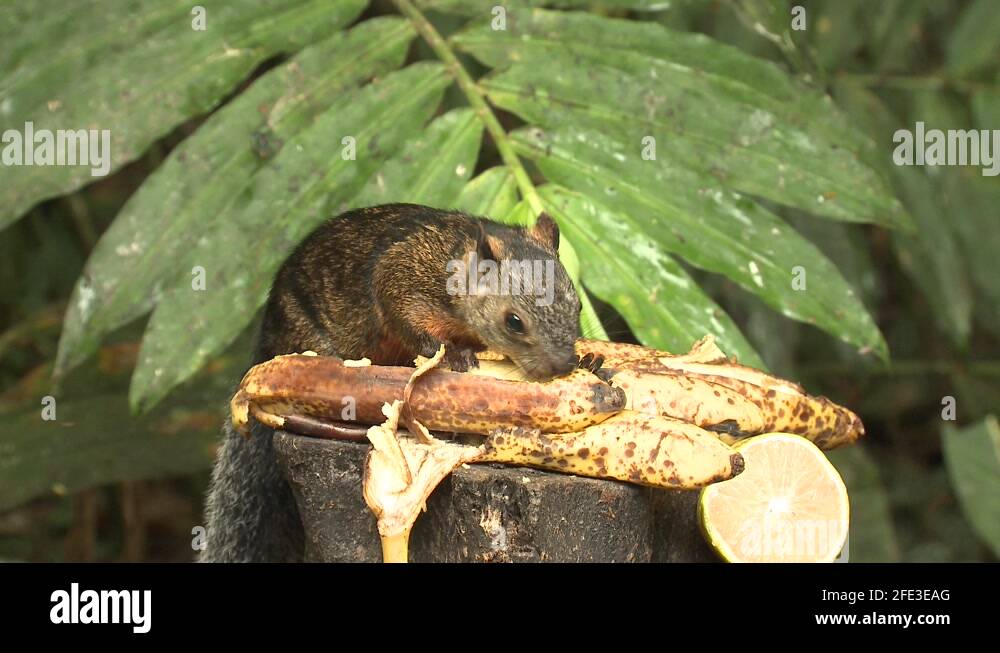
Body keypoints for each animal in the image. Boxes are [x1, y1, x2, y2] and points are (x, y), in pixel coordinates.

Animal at [199, 203, 582, 562]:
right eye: (514, 322)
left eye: (578, 305)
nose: (564, 364)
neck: (454, 260)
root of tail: (266, 343)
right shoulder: (400, 279)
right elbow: (407, 323)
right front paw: (454, 356)